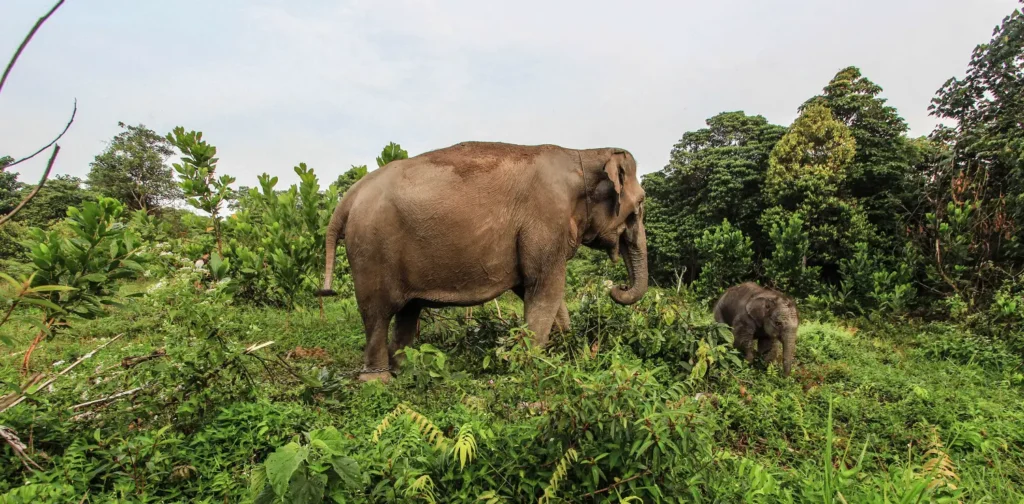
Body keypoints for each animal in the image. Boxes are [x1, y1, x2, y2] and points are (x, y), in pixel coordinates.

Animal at [317, 139, 647, 379]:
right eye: (642, 202)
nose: (616, 288)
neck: (583, 154)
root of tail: (350, 195)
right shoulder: (546, 218)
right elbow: (544, 287)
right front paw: (530, 365)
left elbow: (534, 289)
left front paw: (565, 353)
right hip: (371, 247)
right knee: (376, 313)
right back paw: (377, 380)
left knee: (407, 312)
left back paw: (404, 372)